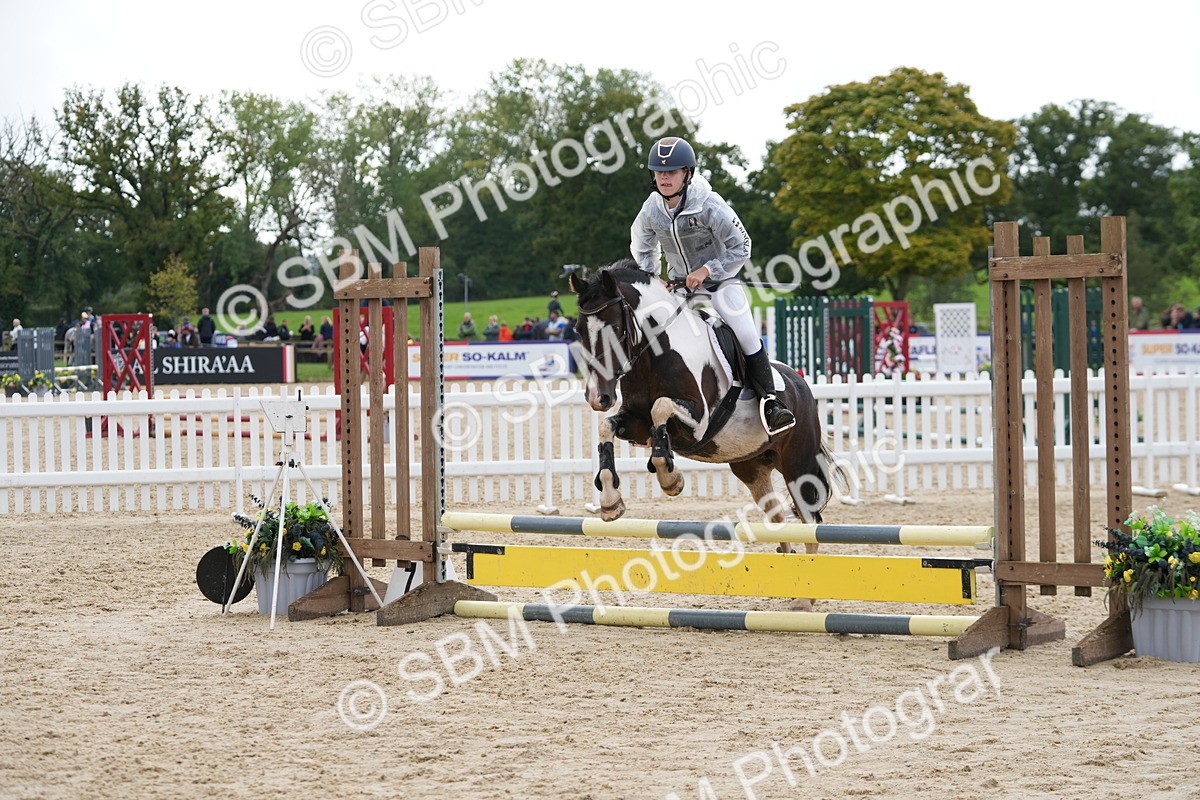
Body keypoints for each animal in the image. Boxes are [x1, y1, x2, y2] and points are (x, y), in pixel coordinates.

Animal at [568, 262, 841, 537]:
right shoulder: (637, 425)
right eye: (578, 330)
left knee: (809, 523)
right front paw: (610, 501)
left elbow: (660, 407)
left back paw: (778, 414)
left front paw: (670, 479)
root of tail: (801, 384)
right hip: (751, 466)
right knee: (776, 518)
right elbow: (607, 426)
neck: (653, 356)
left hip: (798, 468)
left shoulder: (698, 423)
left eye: (614, 328)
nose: (598, 398)